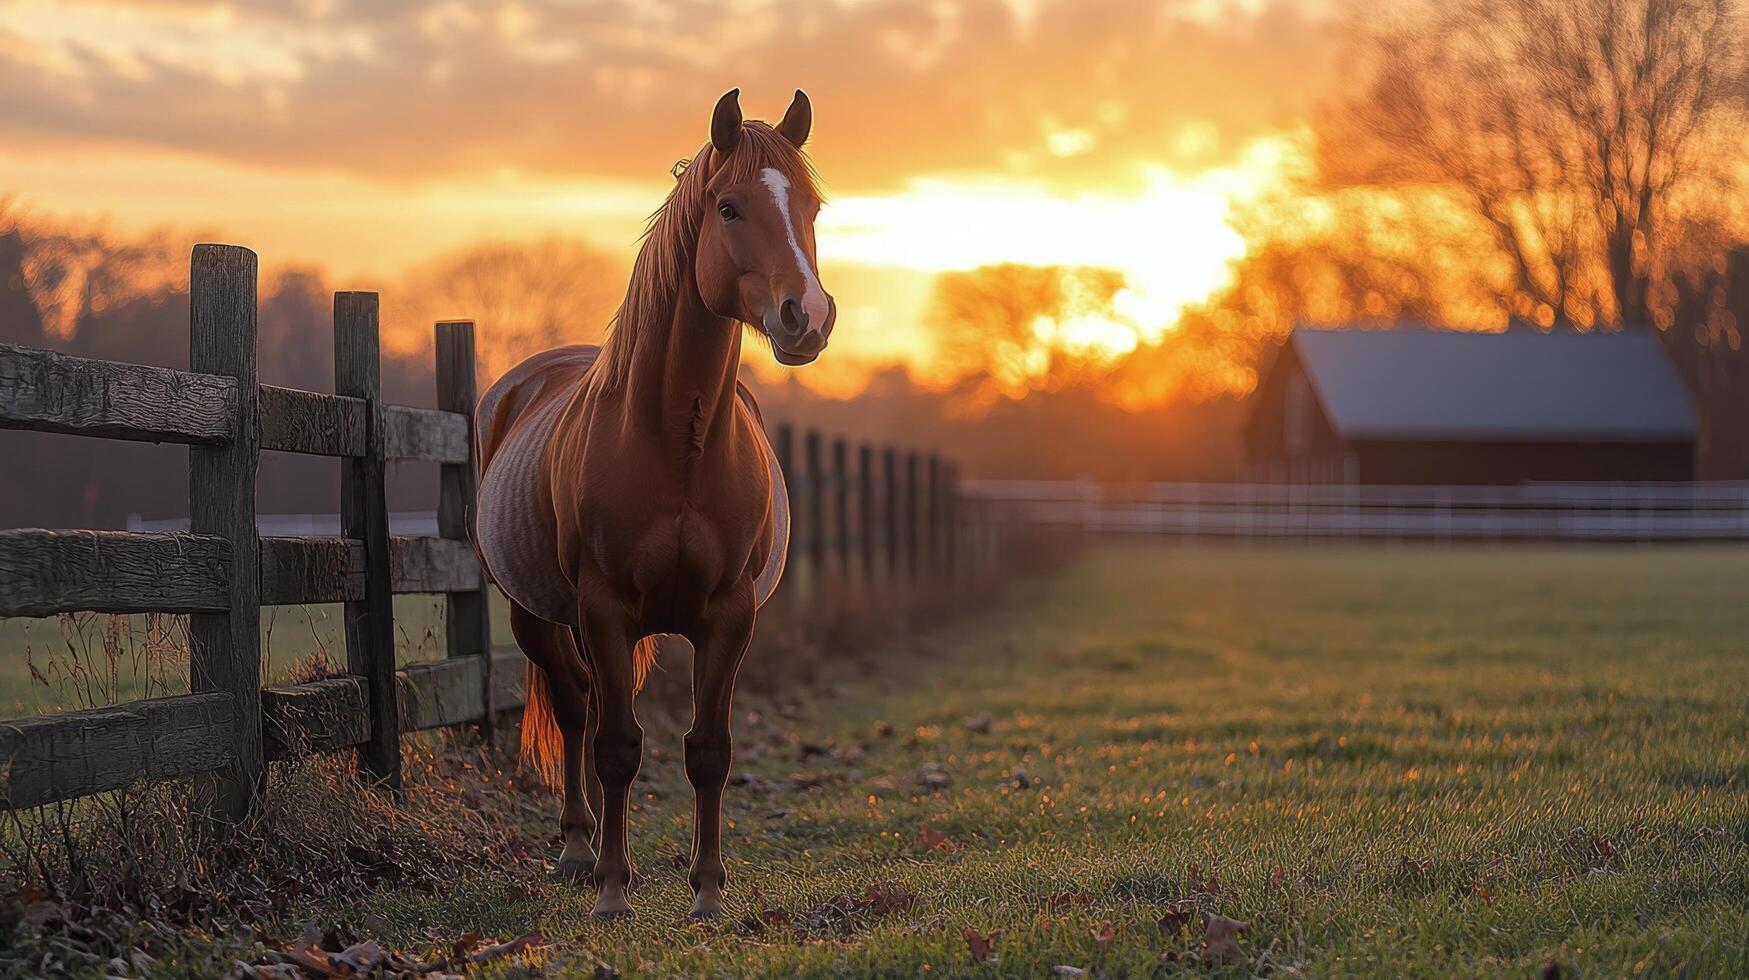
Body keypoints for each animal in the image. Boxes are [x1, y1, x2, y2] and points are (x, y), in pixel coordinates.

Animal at [472, 88, 833, 919]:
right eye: (728, 207)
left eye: (812, 207)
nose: (807, 316)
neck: (675, 443)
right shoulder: (603, 609)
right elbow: (616, 747)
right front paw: (611, 889)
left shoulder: (730, 614)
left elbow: (709, 750)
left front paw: (708, 892)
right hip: (533, 614)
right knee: (574, 711)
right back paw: (579, 851)